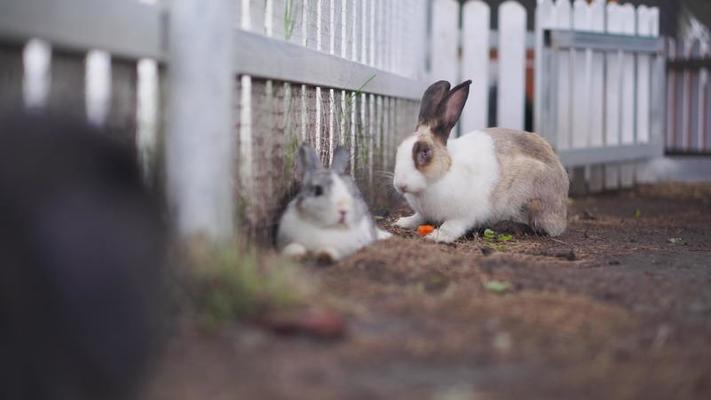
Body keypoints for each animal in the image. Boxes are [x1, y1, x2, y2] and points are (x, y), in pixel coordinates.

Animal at [392, 79, 572, 242]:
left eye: (425, 152)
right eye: (399, 148)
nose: (400, 185)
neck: (444, 174)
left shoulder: (463, 216)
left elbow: (451, 227)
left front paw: (436, 236)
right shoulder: (424, 213)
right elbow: (418, 217)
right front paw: (402, 222)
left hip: (533, 202)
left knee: (538, 228)